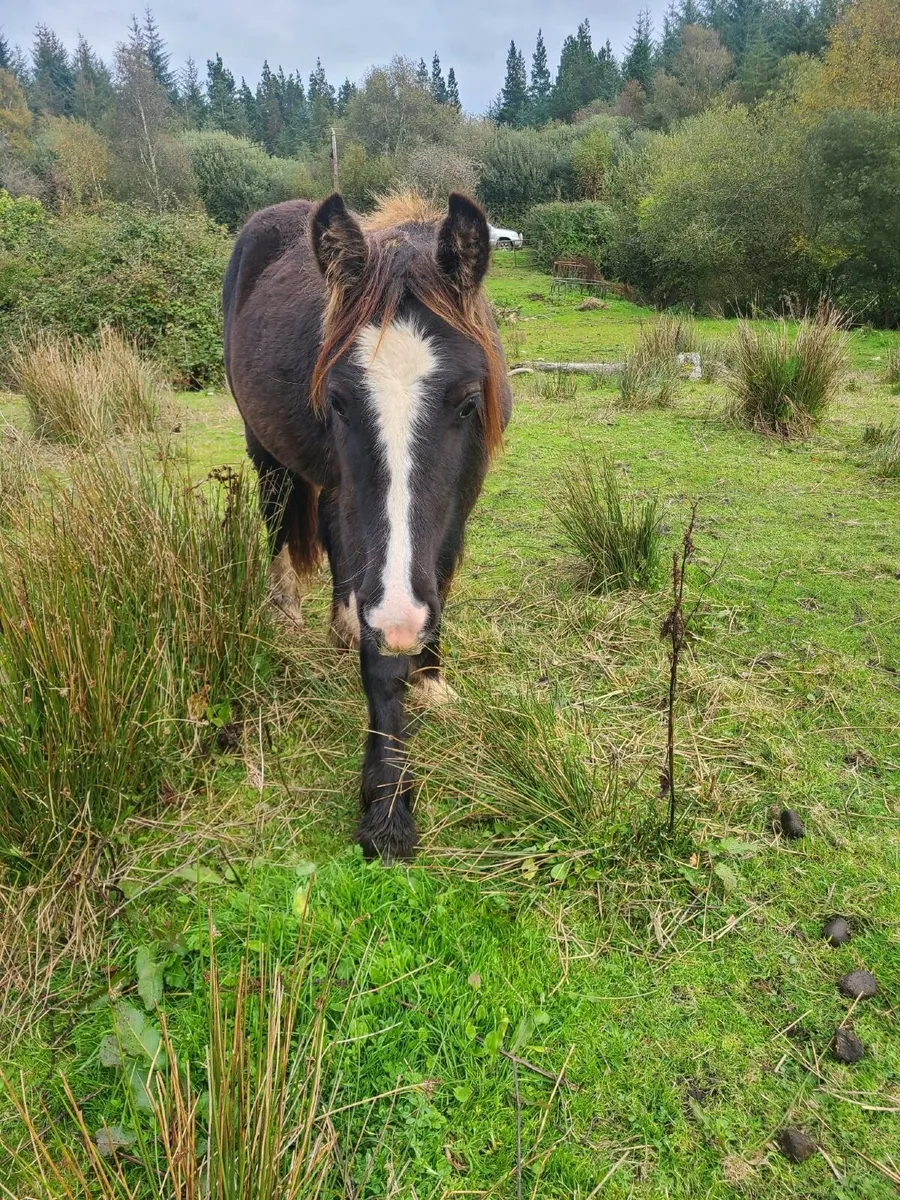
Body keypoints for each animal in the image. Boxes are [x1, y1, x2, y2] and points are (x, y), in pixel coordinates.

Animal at [223, 191, 512, 861]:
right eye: (338, 400)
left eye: (468, 401)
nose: (405, 623)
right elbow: (381, 652)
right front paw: (387, 806)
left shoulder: (455, 512)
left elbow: (435, 581)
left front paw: (430, 677)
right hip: (267, 452)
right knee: (279, 520)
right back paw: (287, 608)